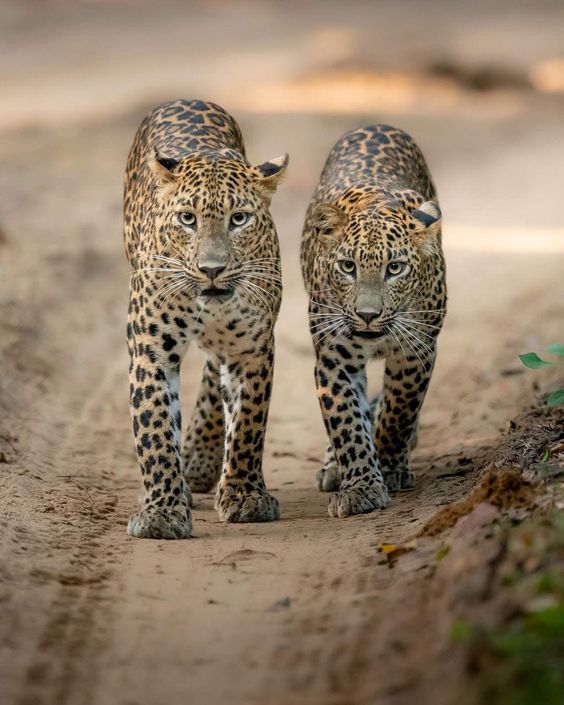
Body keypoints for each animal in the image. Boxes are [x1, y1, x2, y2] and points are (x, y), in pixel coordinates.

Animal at [124, 99, 288, 539]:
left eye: (239, 219)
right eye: (187, 219)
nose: (212, 269)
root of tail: (186, 98)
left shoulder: (252, 349)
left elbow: (248, 423)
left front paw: (245, 496)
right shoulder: (150, 352)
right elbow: (155, 428)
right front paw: (162, 512)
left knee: (215, 376)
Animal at [301, 124, 446, 518]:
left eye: (394, 268)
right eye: (347, 266)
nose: (368, 316)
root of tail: (377, 125)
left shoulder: (416, 352)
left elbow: (399, 411)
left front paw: (388, 463)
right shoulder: (334, 359)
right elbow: (347, 421)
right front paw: (361, 487)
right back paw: (334, 466)